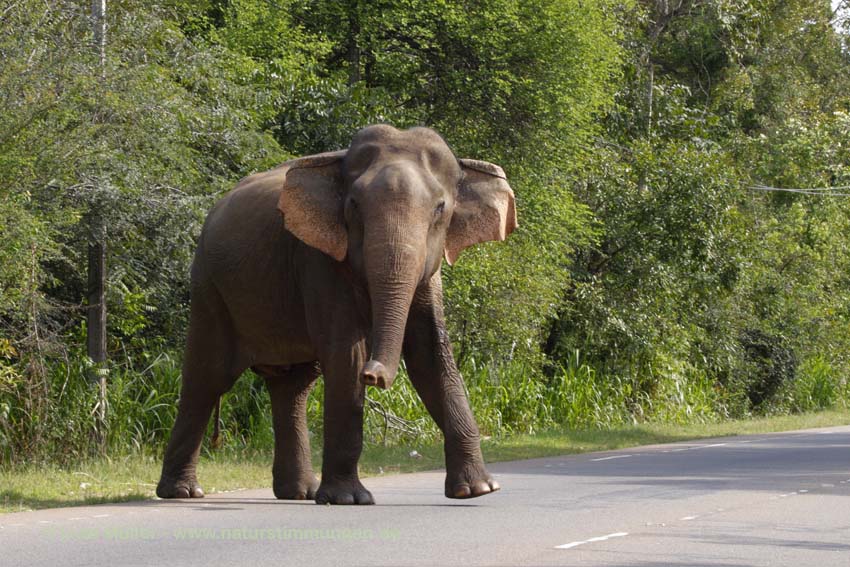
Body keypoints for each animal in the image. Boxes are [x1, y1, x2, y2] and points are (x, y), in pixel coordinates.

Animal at [155, 124, 512, 506]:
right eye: (353, 205)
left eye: (440, 209)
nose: (374, 376)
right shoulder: (317, 259)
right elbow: (346, 356)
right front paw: (348, 499)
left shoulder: (429, 273)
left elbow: (430, 354)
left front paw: (477, 491)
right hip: (209, 288)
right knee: (207, 377)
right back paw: (182, 492)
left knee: (292, 387)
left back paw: (299, 493)